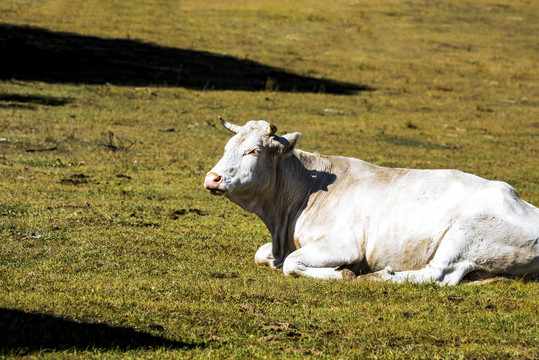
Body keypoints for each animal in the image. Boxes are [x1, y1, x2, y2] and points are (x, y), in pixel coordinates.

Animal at [204, 117, 539, 284]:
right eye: (226, 147)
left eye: (253, 151)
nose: (212, 178)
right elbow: (263, 255)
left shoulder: (344, 243)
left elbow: (292, 263)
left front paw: (343, 273)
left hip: (464, 237)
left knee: (437, 275)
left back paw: (379, 276)